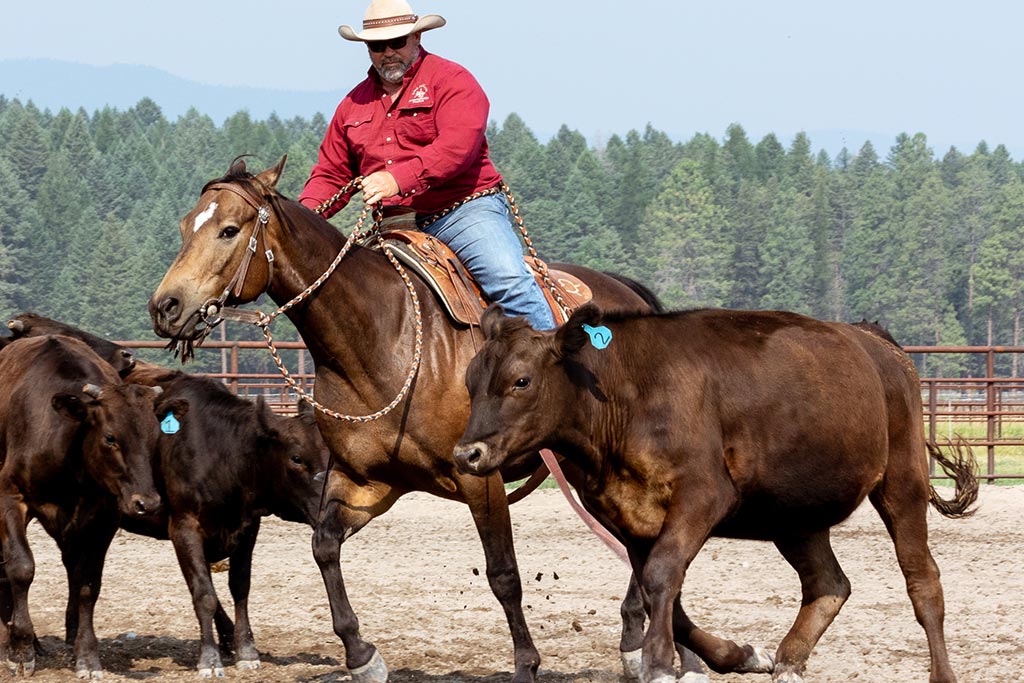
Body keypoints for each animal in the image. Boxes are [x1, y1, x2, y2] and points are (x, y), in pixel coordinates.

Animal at [148, 157, 659, 679]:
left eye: (229, 229)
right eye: (186, 226)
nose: (166, 306)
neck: (382, 335)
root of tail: (627, 291)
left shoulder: (479, 477)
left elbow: (503, 574)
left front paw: (525, 664)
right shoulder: (366, 482)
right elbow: (323, 546)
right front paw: (361, 655)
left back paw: (637, 643)